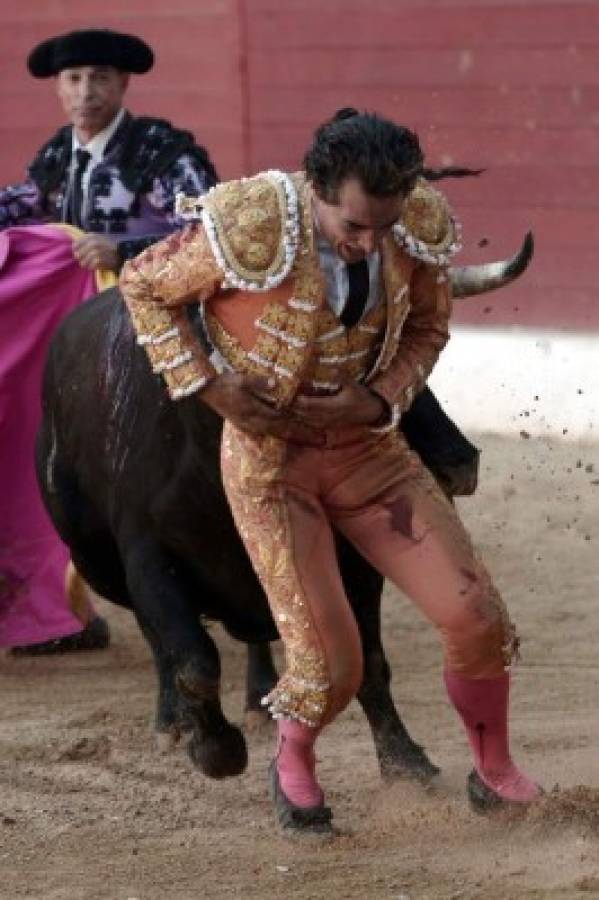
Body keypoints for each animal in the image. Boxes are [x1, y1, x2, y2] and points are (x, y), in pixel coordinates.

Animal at [36, 237, 528, 780]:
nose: (461, 462)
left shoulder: (354, 564)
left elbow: (369, 663)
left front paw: (405, 761)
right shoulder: (147, 557)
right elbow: (191, 660)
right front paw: (215, 748)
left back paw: (257, 701)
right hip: (98, 564)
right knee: (163, 643)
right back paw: (174, 723)